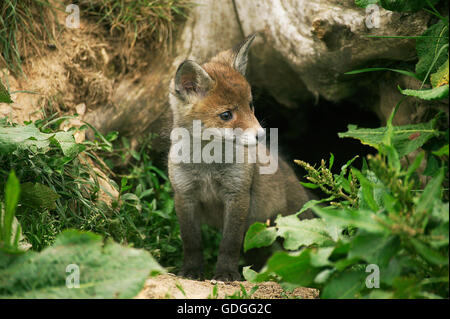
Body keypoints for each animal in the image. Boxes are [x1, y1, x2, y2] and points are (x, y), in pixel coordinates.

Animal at [167, 33, 314, 282]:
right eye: (226, 115)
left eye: (250, 105)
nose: (261, 135)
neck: (208, 166)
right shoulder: (185, 195)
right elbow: (192, 242)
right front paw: (191, 271)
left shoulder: (238, 195)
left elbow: (230, 244)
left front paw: (226, 273)